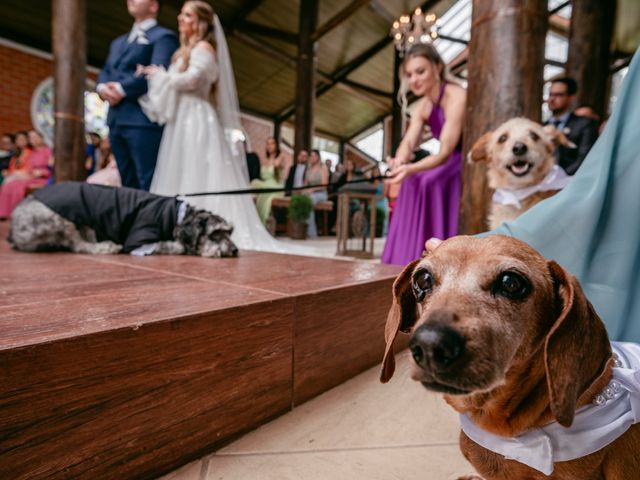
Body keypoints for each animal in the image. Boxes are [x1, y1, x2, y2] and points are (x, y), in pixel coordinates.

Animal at [8, 181, 239, 256]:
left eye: (230, 231)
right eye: (216, 233)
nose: (236, 250)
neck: (177, 216)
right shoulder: (139, 241)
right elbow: (174, 246)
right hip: (60, 219)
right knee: (77, 245)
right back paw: (105, 247)